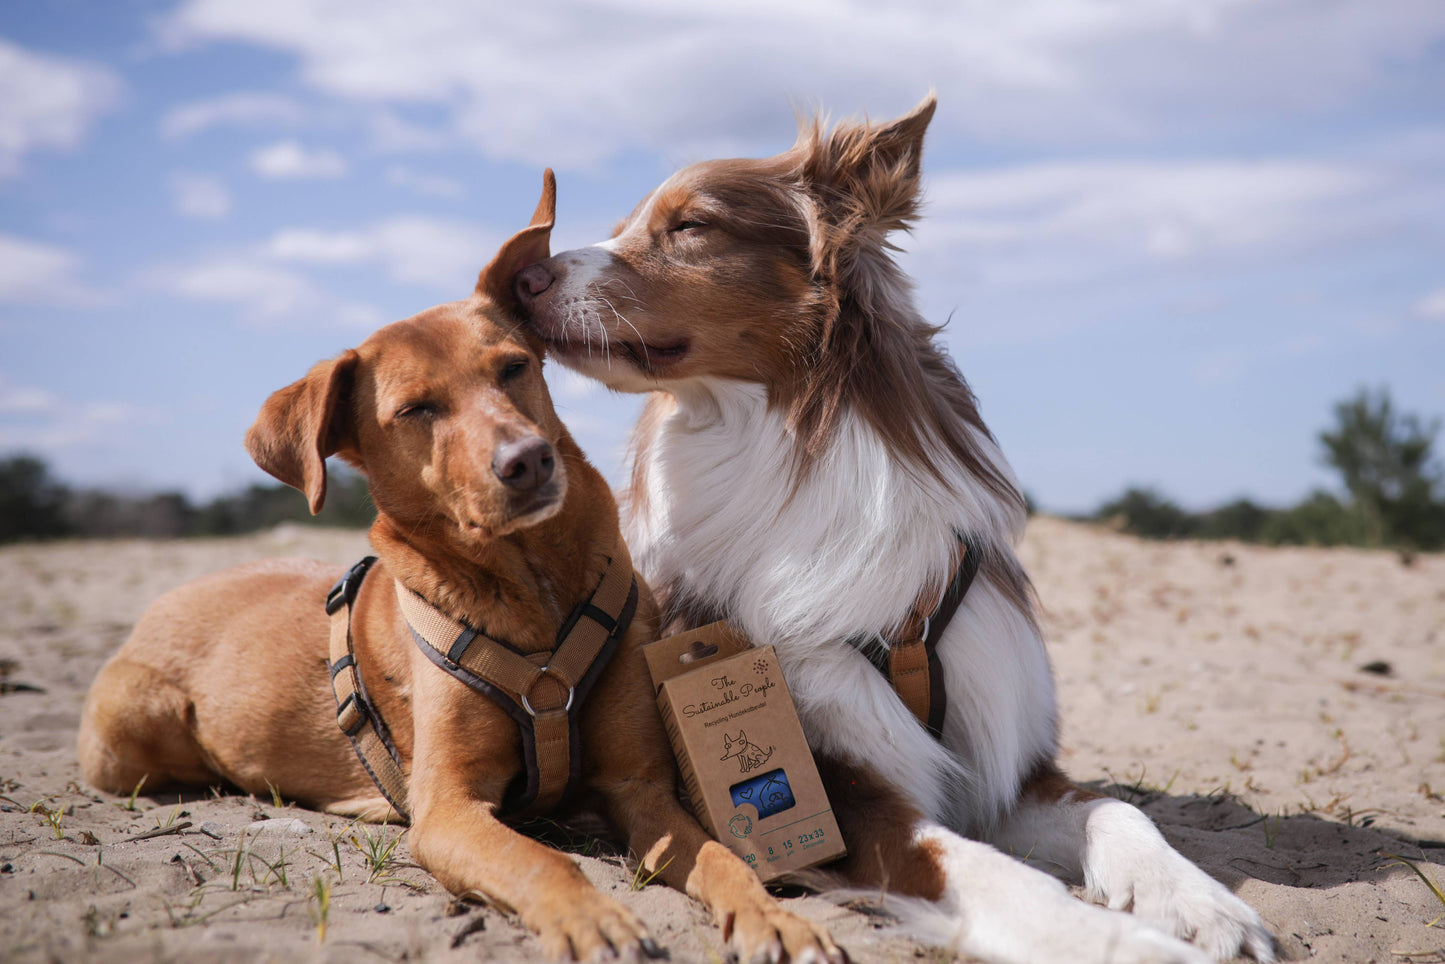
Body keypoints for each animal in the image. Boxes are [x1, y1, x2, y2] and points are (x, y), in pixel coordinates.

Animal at [76, 171, 843, 964]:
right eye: (416, 409)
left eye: (514, 367)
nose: (527, 460)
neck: (534, 589)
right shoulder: (447, 808)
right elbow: (540, 859)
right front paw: (591, 918)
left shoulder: (642, 786)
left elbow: (723, 855)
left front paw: (775, 918)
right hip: (132, 733)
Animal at [517, 99, 1277, 964]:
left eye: (690, 226)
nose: (522, 277)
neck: (782, 436)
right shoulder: (843, 794)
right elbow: (1002, 876)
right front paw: (1139, 946)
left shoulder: (1002, 759)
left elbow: (1119, 811)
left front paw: (1199, 903)